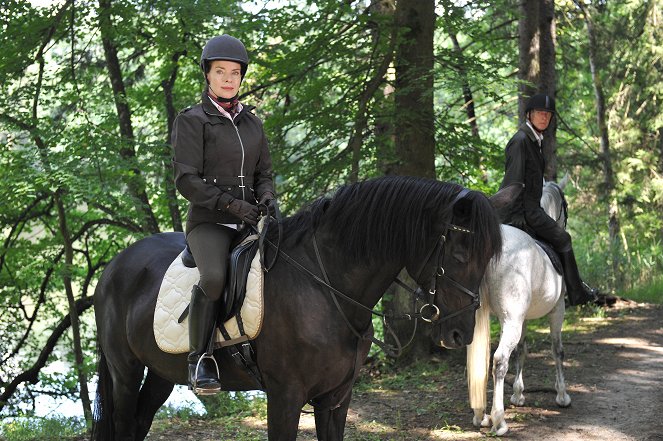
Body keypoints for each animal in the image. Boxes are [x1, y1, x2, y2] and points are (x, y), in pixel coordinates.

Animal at [91, 174, 500, 438]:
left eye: (487, 257)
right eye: (460, 254)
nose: (460, 333)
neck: (326, 286)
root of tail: (114, 267)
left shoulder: (335, 399)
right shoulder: (285, 397)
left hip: (160, 371)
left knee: (139, 423)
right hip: (124, 370)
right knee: (125, 424)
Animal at [466, 177, 572, 434]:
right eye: (565, 205)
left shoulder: (521, 318)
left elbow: (521, 351)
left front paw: (518, 394)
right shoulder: (557, 311)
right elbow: (557, 350)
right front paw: (562, 395)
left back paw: (480, 415)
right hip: (515, 319)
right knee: (499, 360)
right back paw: (499, 421)